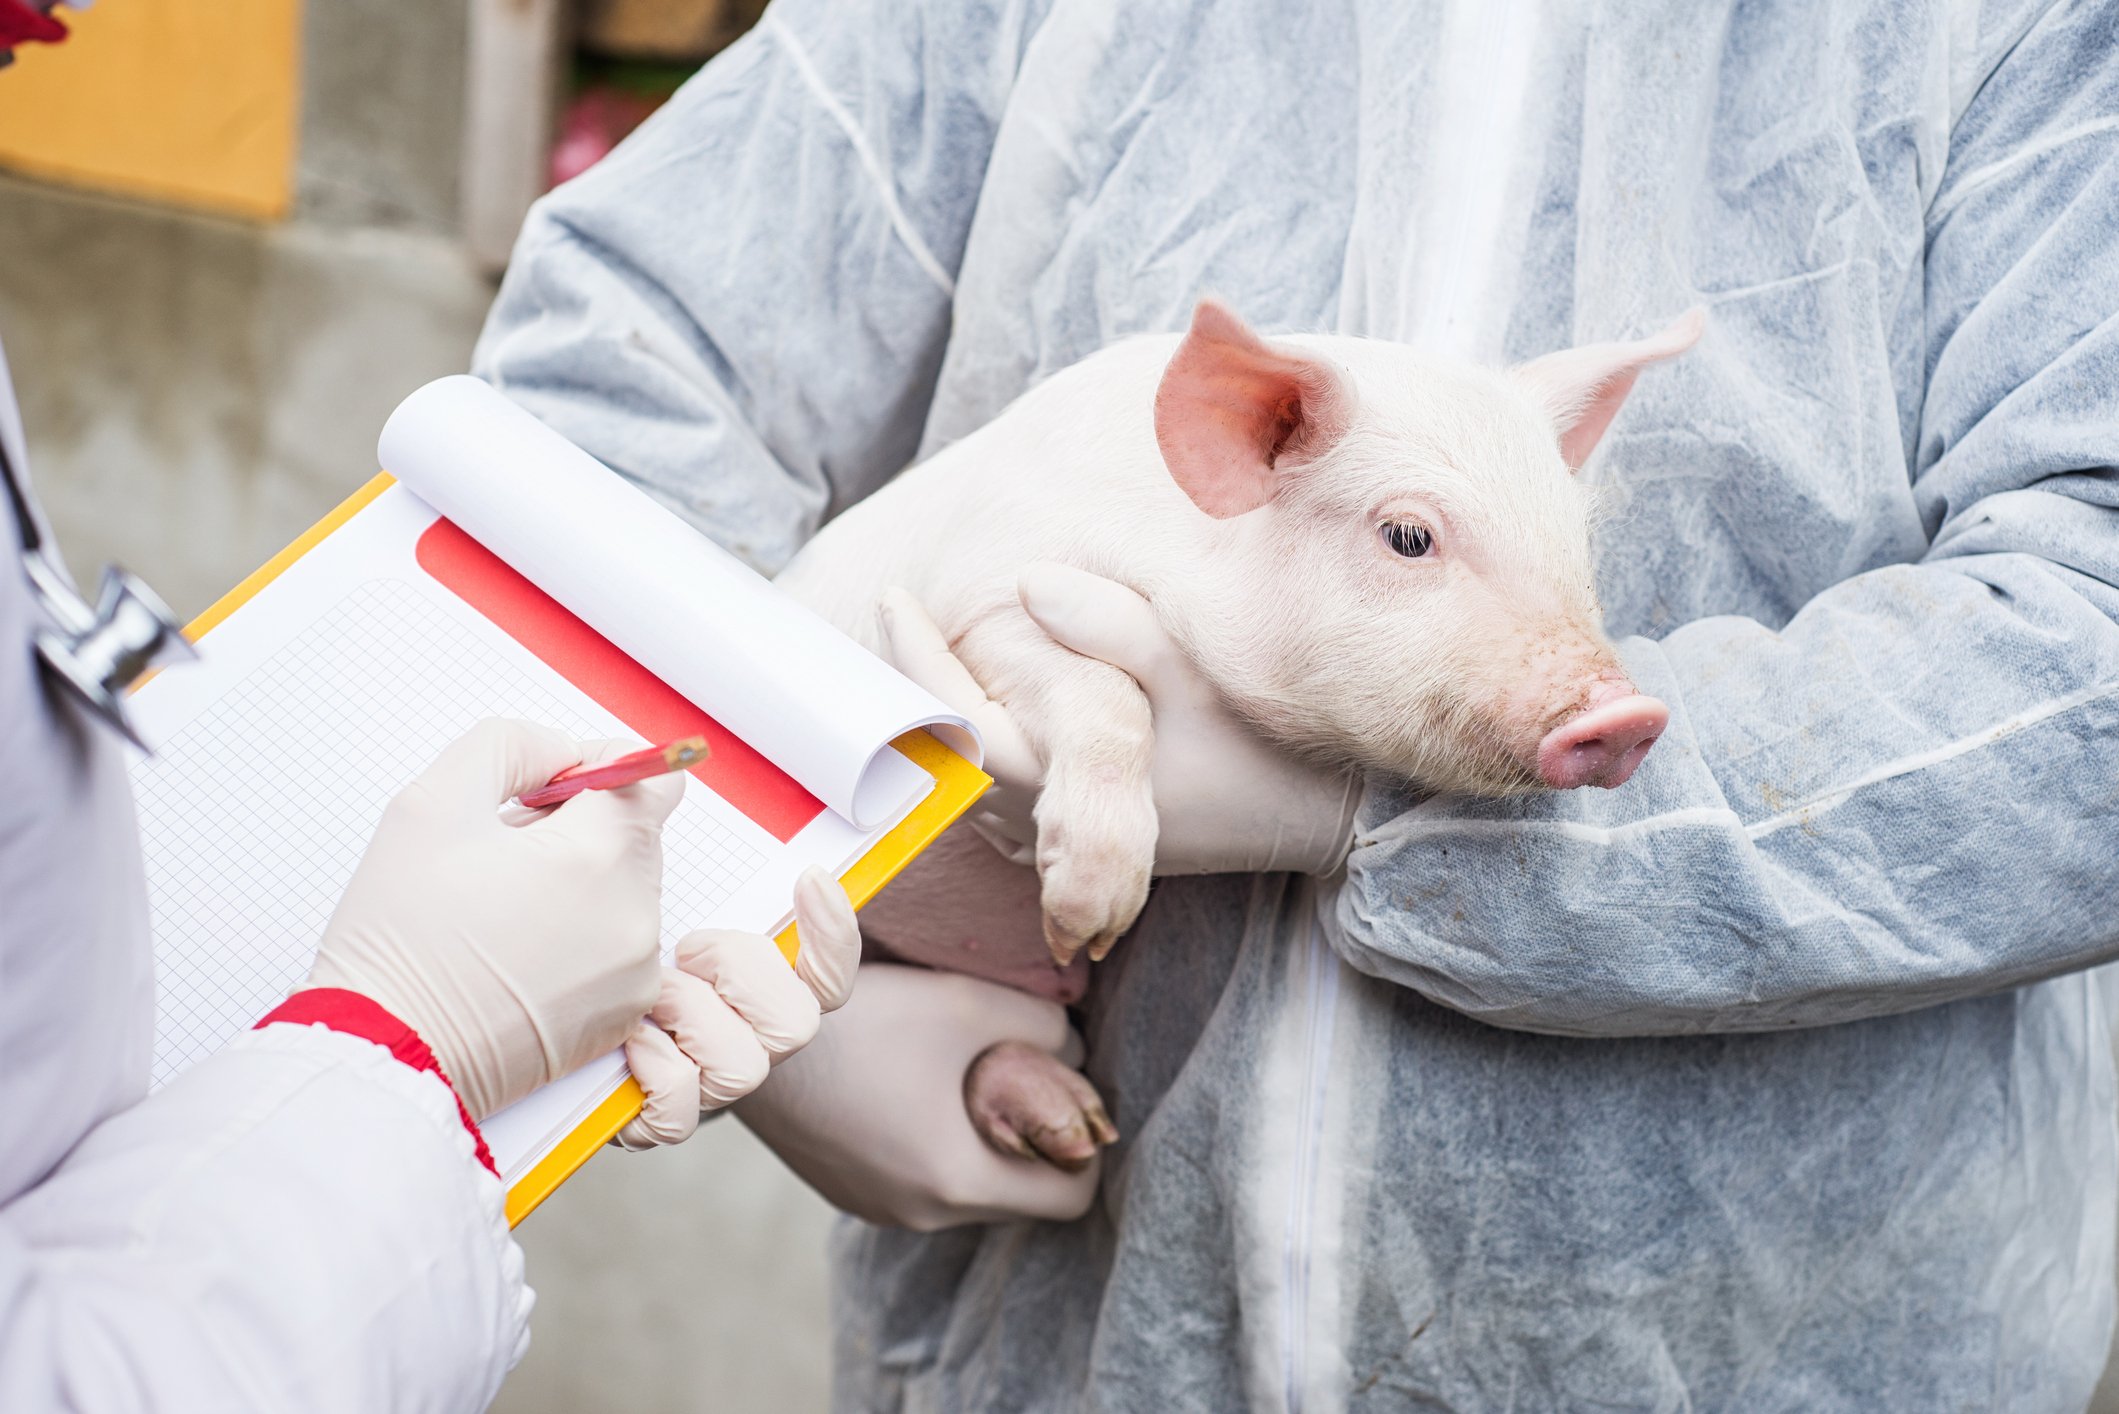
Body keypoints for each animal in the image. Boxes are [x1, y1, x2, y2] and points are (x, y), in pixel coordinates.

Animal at [774, 299, 1700, 1169]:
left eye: (1577, 546)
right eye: (1408, 536)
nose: (1627, 715)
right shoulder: (977, 602)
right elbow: (1107, 697)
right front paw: (1089, 923)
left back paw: (1069, 1134)